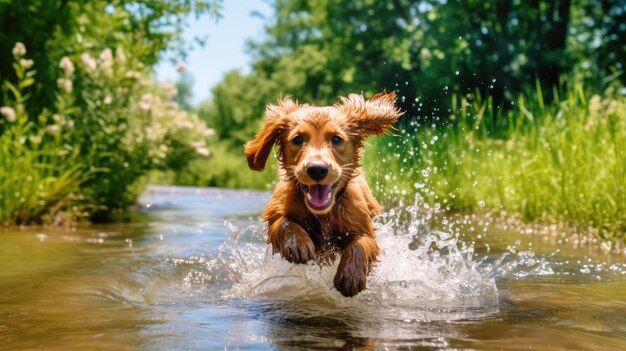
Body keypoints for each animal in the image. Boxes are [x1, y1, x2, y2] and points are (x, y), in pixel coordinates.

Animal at [244, 91, 400, 296]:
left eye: (336, 139)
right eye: (297, 139)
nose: (317, 169)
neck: (323, 215)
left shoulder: (363, 227)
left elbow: (361, 243)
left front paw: (351, 274)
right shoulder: (275, 212)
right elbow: (284, 222)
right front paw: (297, 243)